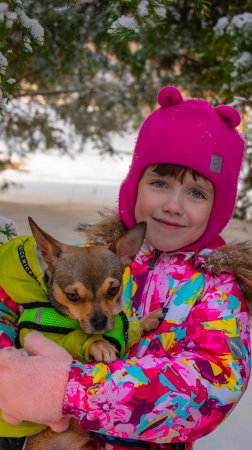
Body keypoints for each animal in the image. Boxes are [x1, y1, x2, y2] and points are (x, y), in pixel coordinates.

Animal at [12, 216, 164, 448]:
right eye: (72, 296)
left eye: (113, 290)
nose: (100, 322)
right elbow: (81, 340)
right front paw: (99, 344)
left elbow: (129, 327)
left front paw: (148, 320)